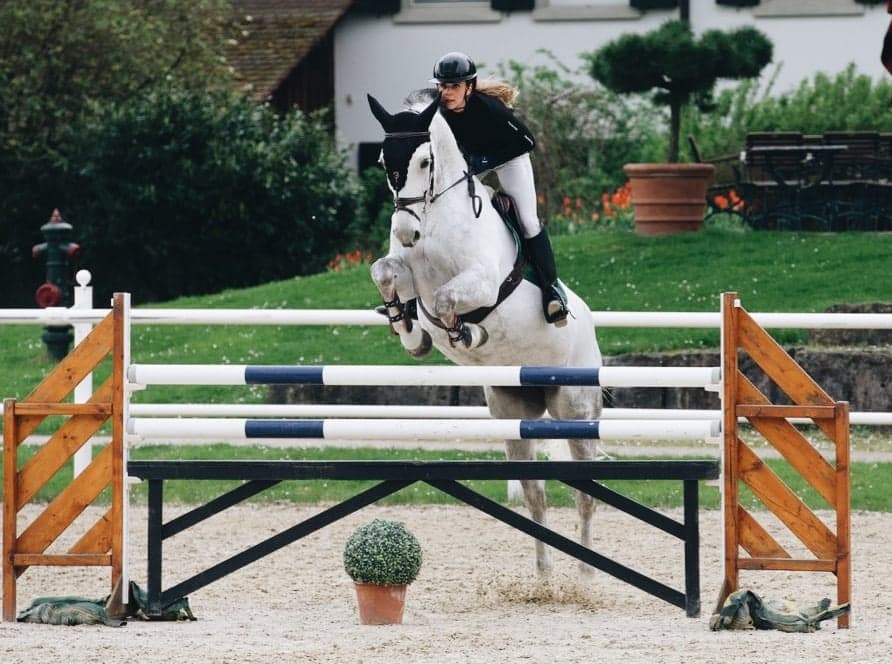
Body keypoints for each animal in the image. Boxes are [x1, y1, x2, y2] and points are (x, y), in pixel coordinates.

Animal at [367, 90, 603, 575]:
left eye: (425, 160)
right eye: (383, 161)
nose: (406, 230)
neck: (434, 216)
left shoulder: (481, 283)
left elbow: (445, 300)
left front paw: (466, 334)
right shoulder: (407, 274)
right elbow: (384, 271)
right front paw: (410, 332)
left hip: (575, 407)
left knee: (584, 495)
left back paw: (587, 575)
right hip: (515, 414)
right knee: (536, 494)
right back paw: (545, 576)